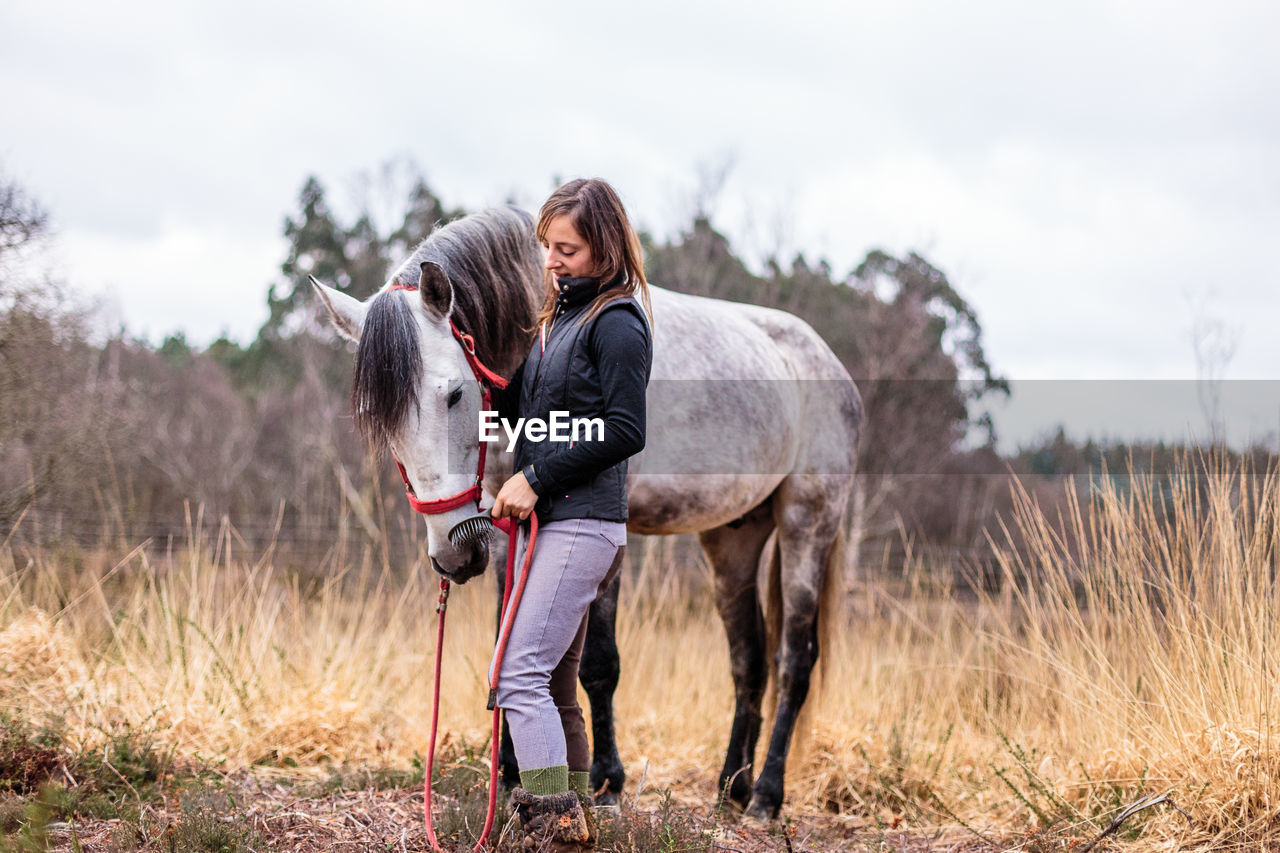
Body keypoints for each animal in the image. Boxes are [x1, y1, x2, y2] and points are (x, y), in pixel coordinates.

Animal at [314, 204, 865, 819]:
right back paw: (731, 788)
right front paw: (510, 774)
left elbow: (599, 665)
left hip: (807, 523)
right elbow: (508, 638)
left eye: (454, 394)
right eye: (376, 416)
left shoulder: (607, 535)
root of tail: (828, 364)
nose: (452, 558)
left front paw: (605, 782)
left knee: (795, 659)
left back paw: (766, 796)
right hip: (733, 538)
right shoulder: (503, 529)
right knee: (750, 659)